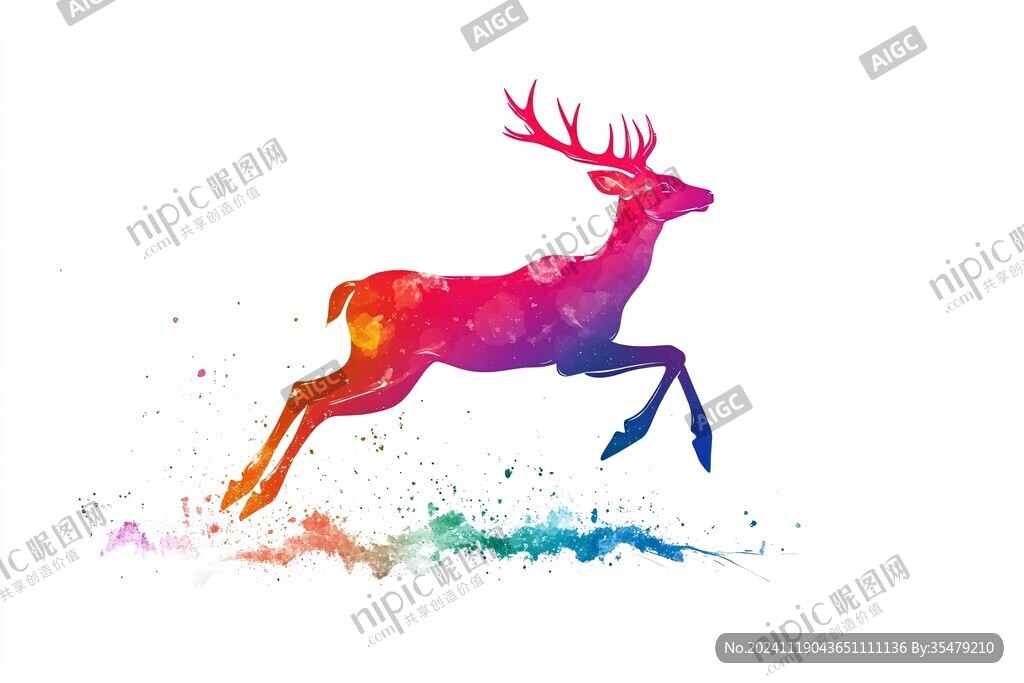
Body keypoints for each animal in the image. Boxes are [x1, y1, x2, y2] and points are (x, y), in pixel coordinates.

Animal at [221, 82, 716, 520]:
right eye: (665, 187)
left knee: (301, 388)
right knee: (318, 405)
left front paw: (693, 441)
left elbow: (674, 354)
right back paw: (258, 496)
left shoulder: (584, 359)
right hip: (390, 367)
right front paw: (640, 436)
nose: (709, 193)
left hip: (380, 365)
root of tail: (353, 288)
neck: (607, 285)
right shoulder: (576, 354)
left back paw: (238, 487)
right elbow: (673, 352)